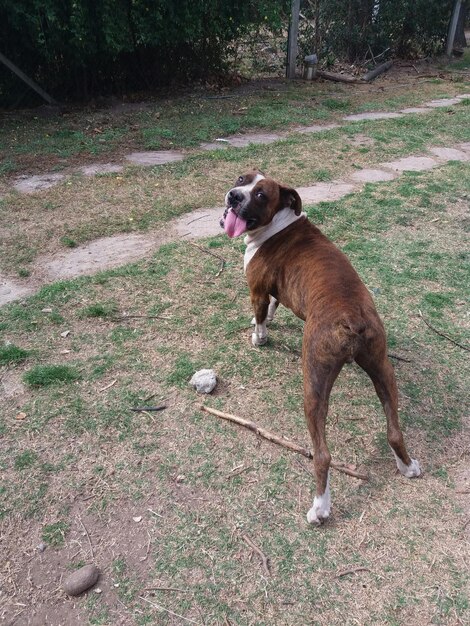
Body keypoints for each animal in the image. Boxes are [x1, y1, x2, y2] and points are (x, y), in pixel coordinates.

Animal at [221, 169, 422, 520]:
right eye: (242, 179)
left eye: (260, 195)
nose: (234, 196)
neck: (279, 222)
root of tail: (350, 318)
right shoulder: (274, 291)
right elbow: (272, 306)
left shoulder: (257, 288)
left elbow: (260, 314)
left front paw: (259, 337)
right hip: (382, 367)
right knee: (394, 430)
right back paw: (408, 467)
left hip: (313, 382)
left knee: (323, 454)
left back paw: (320, 508)